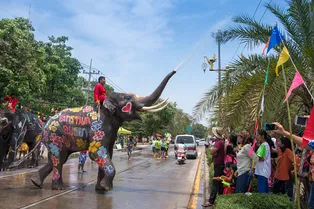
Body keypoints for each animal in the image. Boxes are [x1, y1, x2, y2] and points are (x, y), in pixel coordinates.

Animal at [31, 70, 177, 189]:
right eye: (128, 98)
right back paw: (58, 187)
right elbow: (95, 152)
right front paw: (106, 188)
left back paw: (36, 182)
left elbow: (108, 153)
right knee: (58, 158)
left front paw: (101, 188)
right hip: (54, 135)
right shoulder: (99, 128)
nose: (174, 71)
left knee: (59, 158)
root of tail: (45, 124)